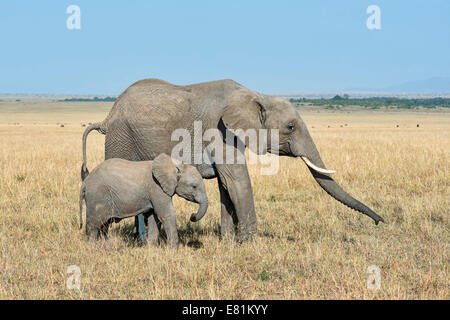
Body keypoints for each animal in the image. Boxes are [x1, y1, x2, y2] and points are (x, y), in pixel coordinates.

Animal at [78, 153, 208, 248]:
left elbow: (153, 217)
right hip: (97, 197)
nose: (192, 216)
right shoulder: (156, 188)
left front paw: (151, 248)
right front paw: (173, 250)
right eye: (194, 186)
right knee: (94, 225)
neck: (174, 165)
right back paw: (92, 247)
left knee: (104, 224)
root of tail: (85, 183)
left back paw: (103, 245)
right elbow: (166, 214)